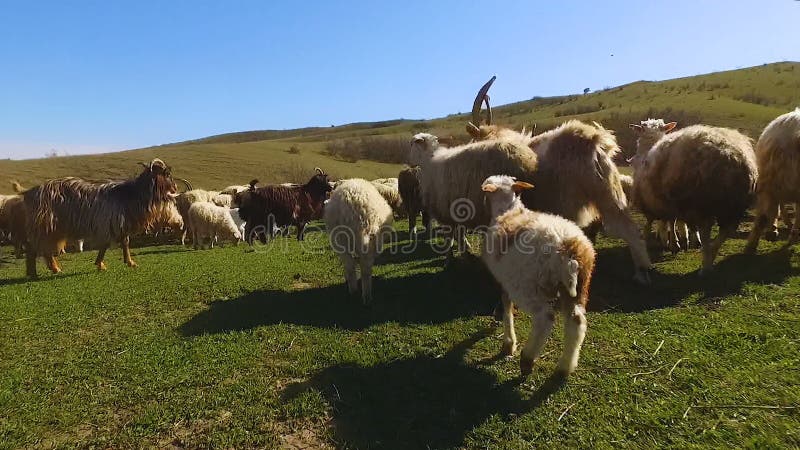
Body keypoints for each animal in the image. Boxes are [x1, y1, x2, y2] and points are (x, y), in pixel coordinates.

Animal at [482, 175, 592, 376]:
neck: (508, 211)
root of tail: (567, 248)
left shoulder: (506, 281)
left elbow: (507, 307)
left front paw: (508, 344)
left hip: (527, 287)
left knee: (544, 318)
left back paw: (527, 359)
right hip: (579, 286)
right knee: (577, 322)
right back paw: (565, 366)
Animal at [632, 119, 756, 272]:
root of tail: (730, 156)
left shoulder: (662, 200)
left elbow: (667, 222)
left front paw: (673, 243)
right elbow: (673, 222)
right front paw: (681, 241)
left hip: (702, 201)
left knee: (706, 230)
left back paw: (706, 264)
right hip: (733, 205)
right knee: (725, 231)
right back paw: (711, 255)